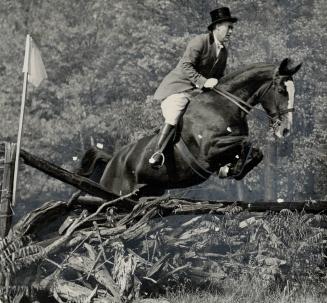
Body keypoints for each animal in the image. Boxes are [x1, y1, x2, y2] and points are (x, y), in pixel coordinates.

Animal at [79, 58, 302, 198]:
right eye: (281, 90)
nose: (285, 130)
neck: (225, 105)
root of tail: (113, 159)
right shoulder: (209, 150)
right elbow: (246, 142)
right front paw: (232, 170)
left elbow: (255, 151)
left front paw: (232, 170)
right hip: (113, 191)